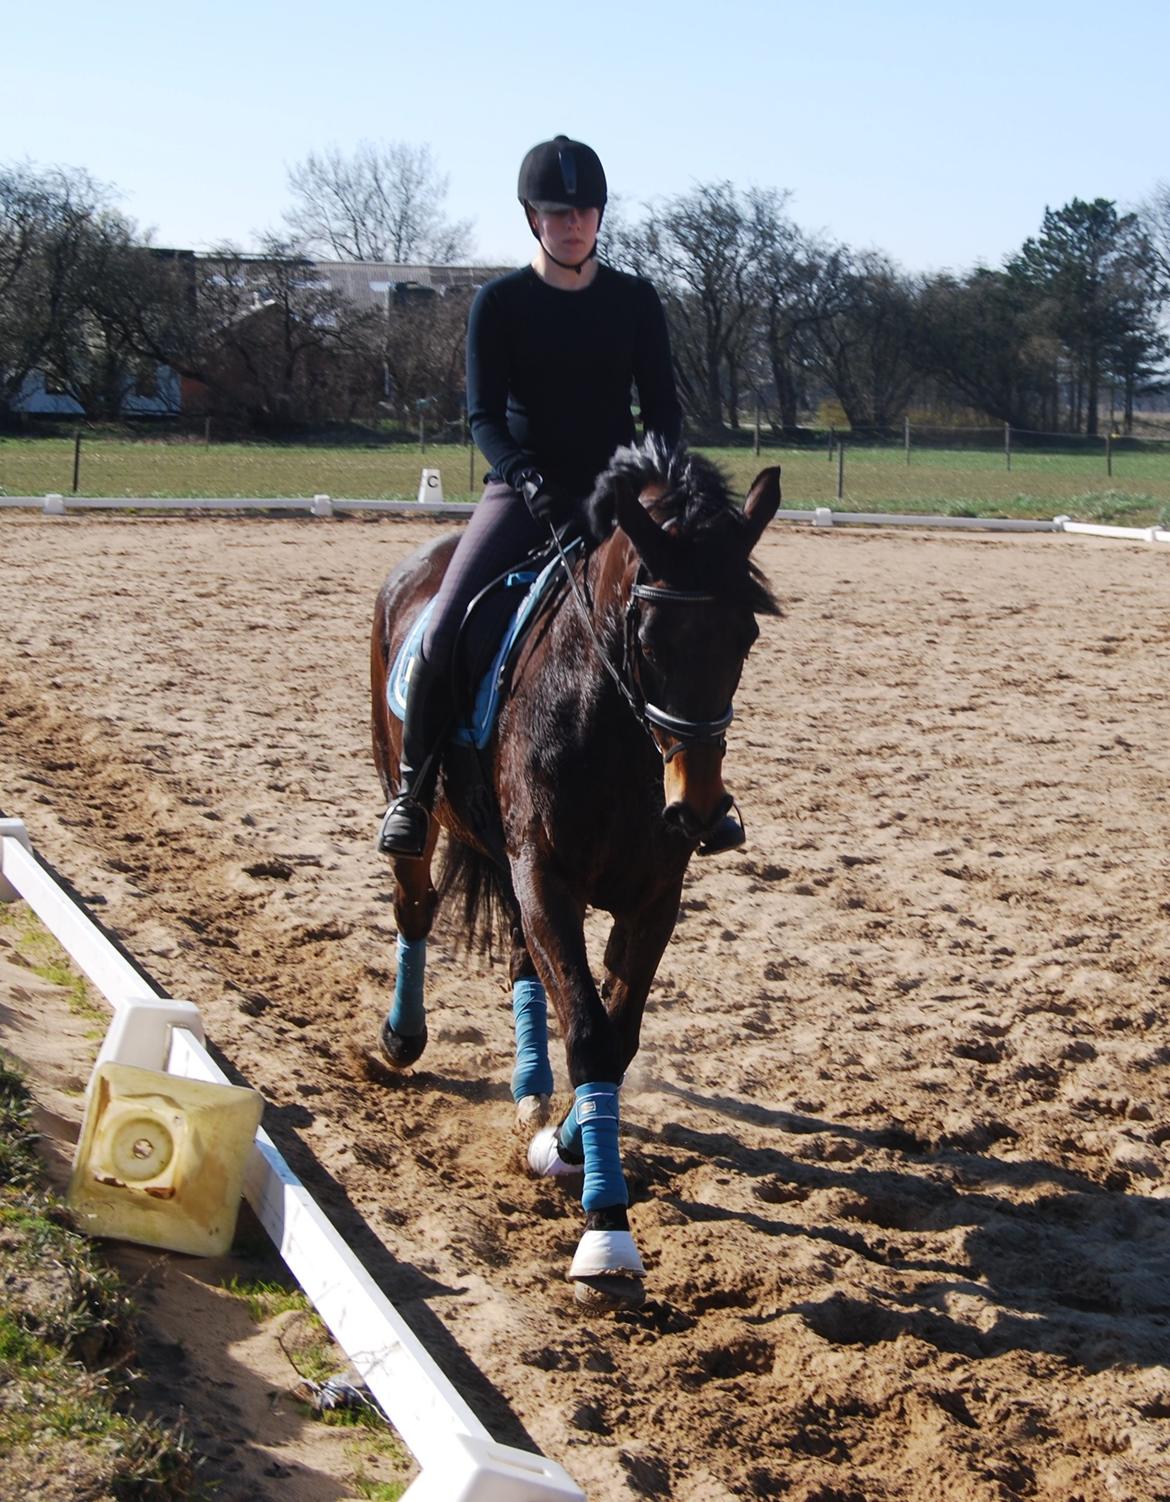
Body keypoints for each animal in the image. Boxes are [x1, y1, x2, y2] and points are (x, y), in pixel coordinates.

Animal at [370, 438, 781, 1309]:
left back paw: (531, 1090)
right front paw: (607, 1233)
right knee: (415, 905)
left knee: (523, 964)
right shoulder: (547, 876)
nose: (698, 811)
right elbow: (590, 1034)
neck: (615, 732)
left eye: (745, 637)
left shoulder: (654, 897)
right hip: (423, 809)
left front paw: (565, 1144)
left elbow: (617, 1037)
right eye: (650, 639)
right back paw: (400, 1038)